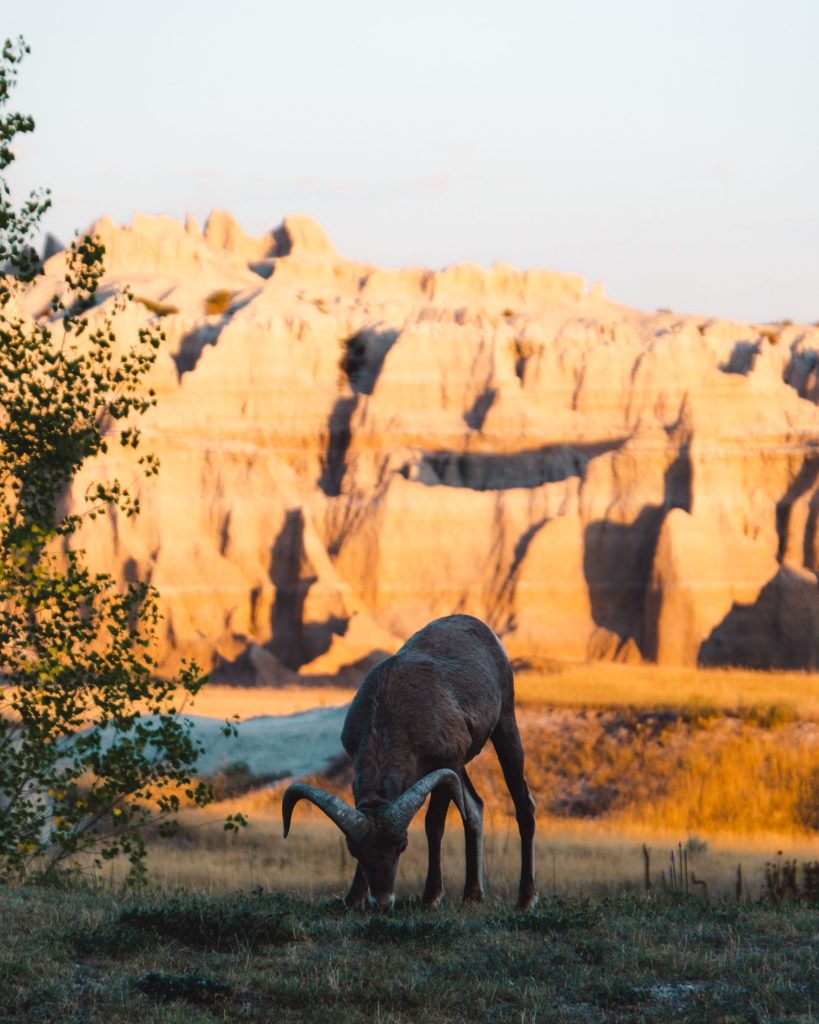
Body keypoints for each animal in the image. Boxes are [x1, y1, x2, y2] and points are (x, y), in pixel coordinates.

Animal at [282, 614, 536, 913]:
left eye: (402, 846)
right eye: (355, 851)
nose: (382, 902)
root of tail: (486, 632)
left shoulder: (445, 766)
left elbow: (433, 825)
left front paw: (431, 898)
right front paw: (353, 899)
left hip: (505, 729)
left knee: (523, 806)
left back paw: (526, 900)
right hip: (464, 769)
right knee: (475, 808)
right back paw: (472, 896)